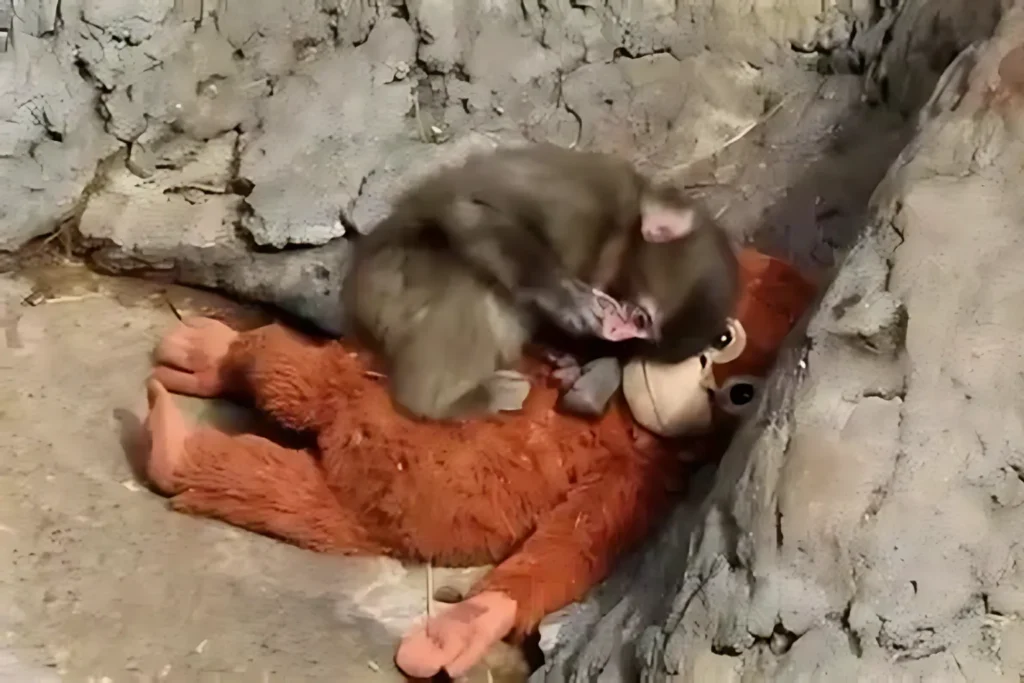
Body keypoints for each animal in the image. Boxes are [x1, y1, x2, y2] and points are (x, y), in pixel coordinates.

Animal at [343, 142, 740, 421]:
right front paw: (567, 299)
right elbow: (470, 206)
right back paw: (446, 401)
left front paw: (573, 361)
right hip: (394, 279)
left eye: (641, 336)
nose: (617, 332)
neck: (619, 229)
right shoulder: (579, 203)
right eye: (640, 318)